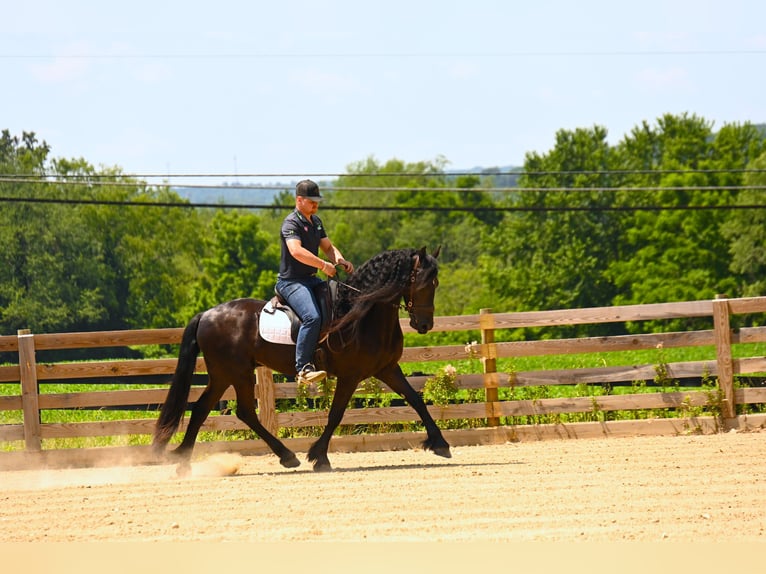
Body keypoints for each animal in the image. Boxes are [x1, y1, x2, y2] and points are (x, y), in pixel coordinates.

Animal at [152, 246, 451, 473]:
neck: (362, 314)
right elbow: (336, 414)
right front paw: (319, 457)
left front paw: (440, 444)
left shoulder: (387, 369)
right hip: (236, 373)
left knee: (207, 409)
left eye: (435, 284)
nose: (424, 324)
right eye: (423, 283)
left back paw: (185, 463)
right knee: (239, 411)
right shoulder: (350, 375)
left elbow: (415, 400)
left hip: (224, 375)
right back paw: (285, 456)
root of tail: (206, 314)